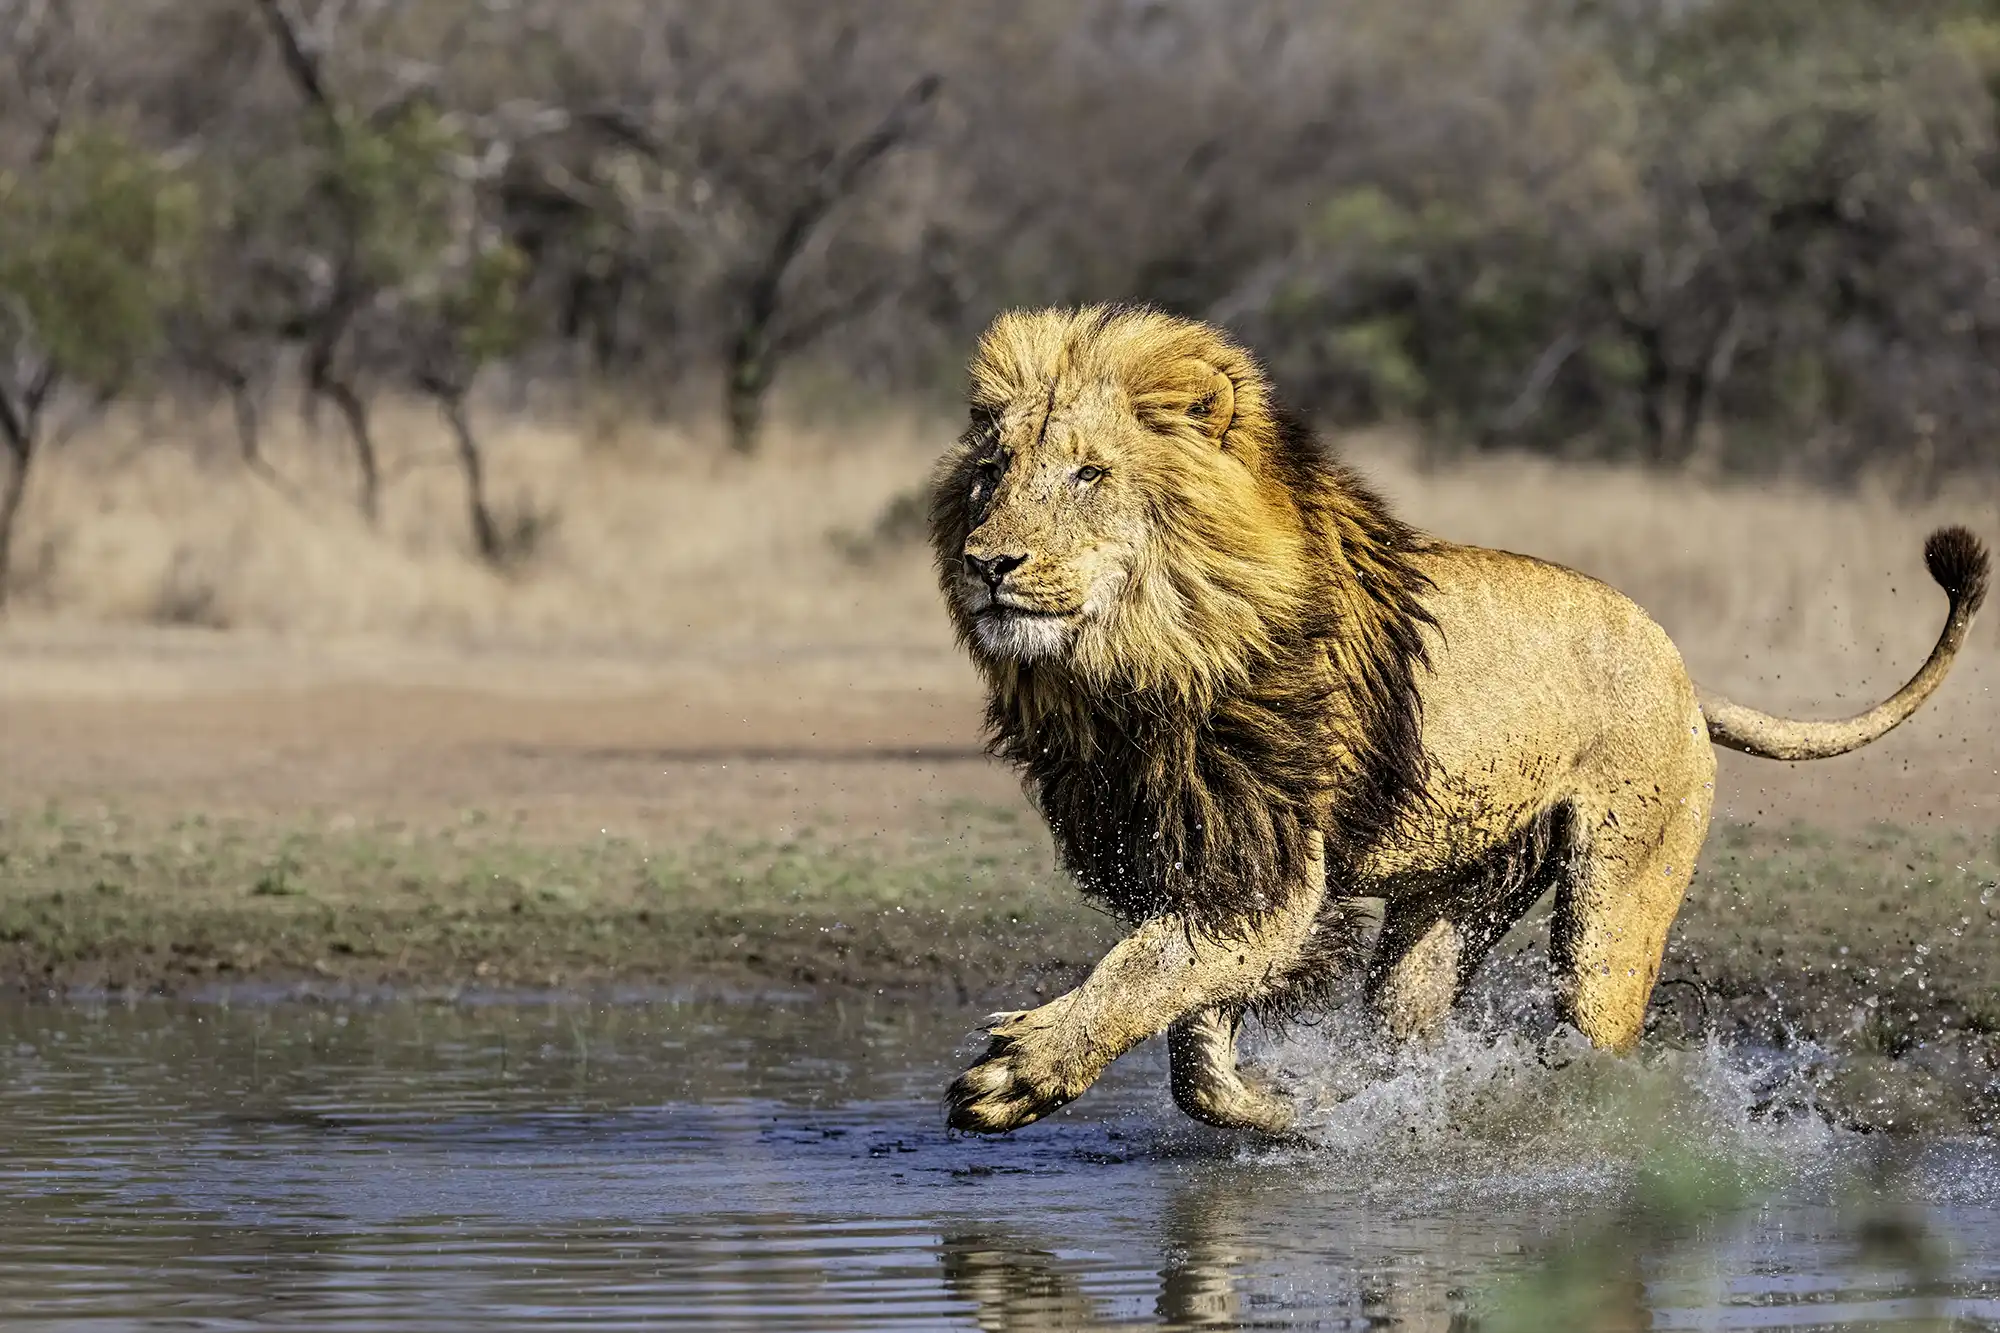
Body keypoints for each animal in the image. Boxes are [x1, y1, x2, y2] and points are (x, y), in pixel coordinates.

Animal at [928, 304, 1990, 1137]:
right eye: (991, 473)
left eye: (1089, 475)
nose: (988, 564)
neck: (1130, 673)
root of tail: (1687, 678)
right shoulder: (1194, 854)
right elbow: (1195, 1043)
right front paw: (1293, 1112)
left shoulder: (1264, 872)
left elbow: (1148, 973)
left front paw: (1016, 1072)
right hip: (1456, 898)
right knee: (1409, 1023)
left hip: (1614, 903)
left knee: (1599, 1032)